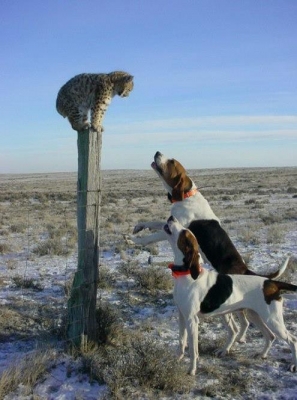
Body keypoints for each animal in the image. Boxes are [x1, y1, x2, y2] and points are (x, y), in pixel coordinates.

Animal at [163, 216, 294, 376]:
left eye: (184, 232)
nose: (171, 217)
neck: (186, 273)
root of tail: (270, 282)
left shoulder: (192, 320)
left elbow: (193, 350)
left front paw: (192, 370)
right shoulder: (182, 316)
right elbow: (181, 341)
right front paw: (176, 360)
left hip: (273, 320)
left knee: (292, 340)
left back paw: (292, 365)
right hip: (254, 315)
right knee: (270, 336)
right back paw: (262, 355)